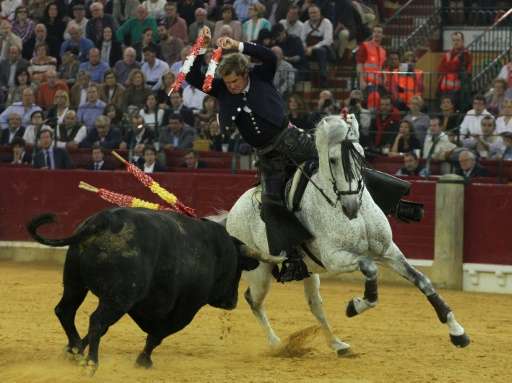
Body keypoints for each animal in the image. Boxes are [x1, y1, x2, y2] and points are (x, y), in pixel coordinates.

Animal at [27, 208, 272, 374]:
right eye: (239, 268)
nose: (231, 302)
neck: (215, 251)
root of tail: (100, 222)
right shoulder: (186, 308)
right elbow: (158, 334)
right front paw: (143, 361)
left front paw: (75, 351)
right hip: (118, 298)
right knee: (96, 320)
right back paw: (91, 363)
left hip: (75, 284)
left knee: (65, 311)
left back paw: (75, 349)